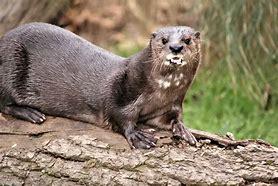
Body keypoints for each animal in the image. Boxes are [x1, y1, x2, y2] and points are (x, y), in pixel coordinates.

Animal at [0, 22, 200, 149]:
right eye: (164, 40)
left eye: (187, 40)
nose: (176, 48)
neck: (161, 93)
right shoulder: (122, 91)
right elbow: (118, 114)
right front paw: (137, 136)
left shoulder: (169, 105)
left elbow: (173, 118)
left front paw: (184, 130)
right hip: (11, 63)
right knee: (4, 103)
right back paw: (31, 113)